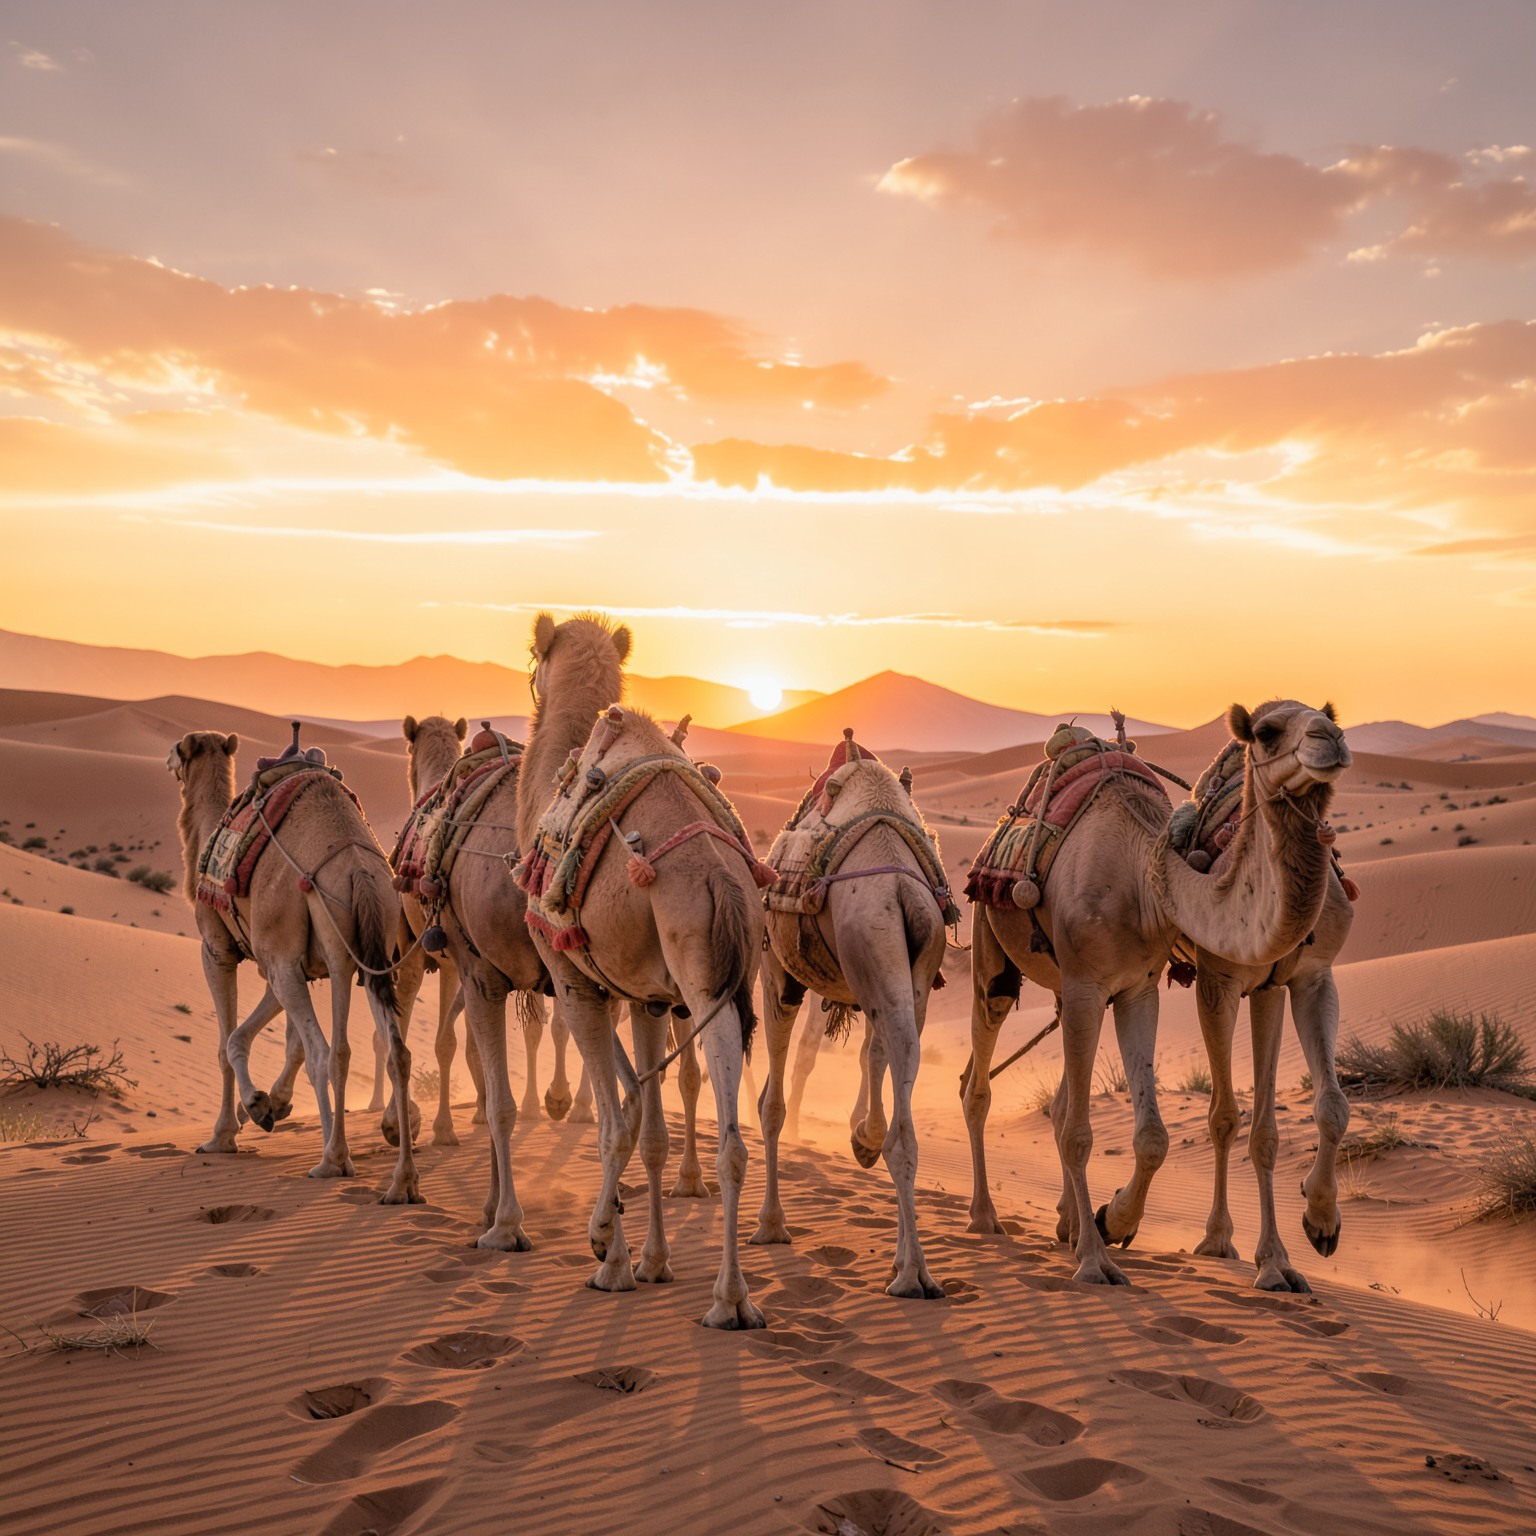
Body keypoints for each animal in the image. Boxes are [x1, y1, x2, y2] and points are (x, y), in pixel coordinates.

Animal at [169, 729, 421, 1201]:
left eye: (180, 748)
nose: (169, 759)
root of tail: (357, 869)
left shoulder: (224, 951)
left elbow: (228, 1043)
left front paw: (231, 1127)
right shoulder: (286, 964)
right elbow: (288, 1044)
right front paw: (274, 1103)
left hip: (308, 944)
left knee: (328, 1051)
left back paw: (332, 1159)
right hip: (367, 946)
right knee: (387, 1051)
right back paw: (402, 1181)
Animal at [517, 612, 766, 1328]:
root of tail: (721, 877)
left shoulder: (573, 977)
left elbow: (612, 1125)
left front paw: (610, 1251)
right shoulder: (649, 996)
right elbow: (649, 1130)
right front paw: (653, 1262)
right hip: (717, 985)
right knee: (732, 1135)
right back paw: (732, 1298)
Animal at [755, 739, 951, 1298]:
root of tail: (900, 889)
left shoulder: (777, 974)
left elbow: (771, 1105)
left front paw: (771, 1224)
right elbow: (873, 1055)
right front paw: (861, 1134)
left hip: (864, 950)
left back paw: (909, 1273)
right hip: (908, 971)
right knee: (901, 1068)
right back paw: (911, 1267)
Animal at [962, 701, 1349, 1286]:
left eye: (1329, 714)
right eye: (1266, 732)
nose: (1332, 740)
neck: (1142, 880)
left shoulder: (1149, 988)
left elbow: (1166, 1136)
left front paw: (1303, 1241)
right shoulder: (1186, 980)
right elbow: (1090, 1132)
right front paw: (1099, 1256)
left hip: (1072, 993)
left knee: (1057, 1103)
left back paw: (1068, 1224)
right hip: (994, 954)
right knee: (979, 1082)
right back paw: (988, 1219)